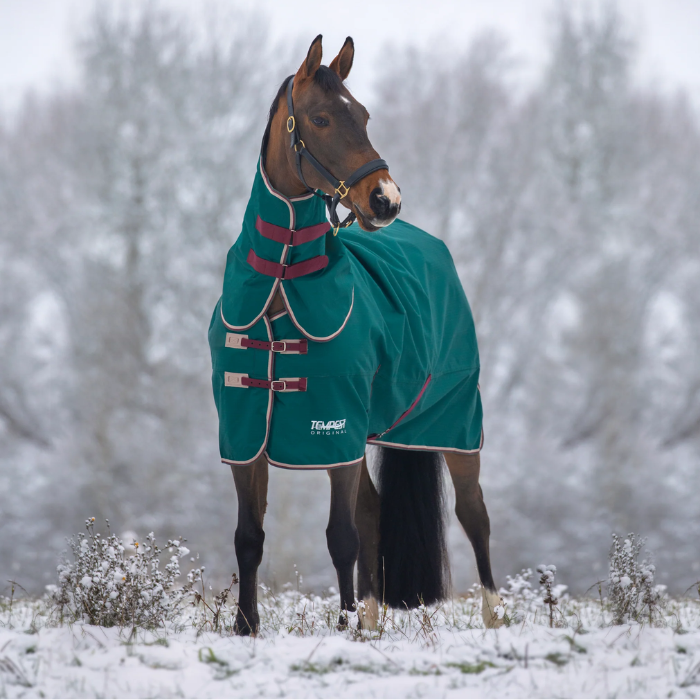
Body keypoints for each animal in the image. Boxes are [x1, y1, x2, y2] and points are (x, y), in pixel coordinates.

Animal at [208, 35, 503, 634]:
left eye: (363, 114)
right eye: (321, 118)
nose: (385, 199)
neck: (282, 282)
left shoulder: (333, 428)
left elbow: (340, 537)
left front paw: (343, 627)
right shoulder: (246, 435)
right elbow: (250, 538)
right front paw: (248, 627)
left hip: (455, 425)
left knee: (473, 514)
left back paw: (492, 617)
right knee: (373, 510)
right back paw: (371, 617)